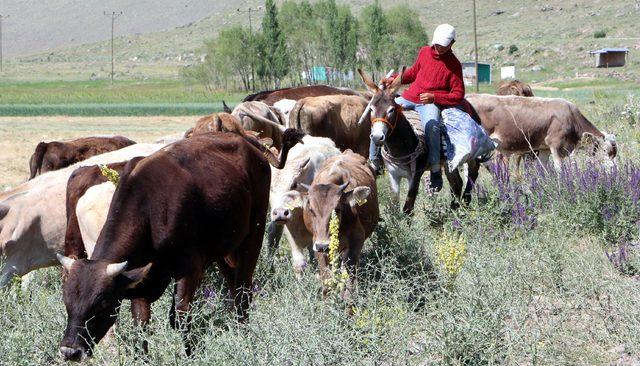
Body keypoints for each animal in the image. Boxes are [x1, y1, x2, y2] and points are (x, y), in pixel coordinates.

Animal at [56, 129, 304, 360]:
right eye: (67, 302)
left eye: (101, 303)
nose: (70, 351)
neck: (150, 212)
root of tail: (247, 141)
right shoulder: (141, 281)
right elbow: (141, 326)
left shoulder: (190, 269)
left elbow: (181, 318)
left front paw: (192, 354)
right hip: (224, 251)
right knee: (234, 289)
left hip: (253, 236)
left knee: (243, 293)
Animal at [286, 150, 380, 302]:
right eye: (311, 209)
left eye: (337, 209)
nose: (323, 245)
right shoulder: (317, 243)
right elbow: (326, 276)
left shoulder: (356, 241)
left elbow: (349, 277)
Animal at [468, 93, 616, 169]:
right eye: (604, 150)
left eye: (614, 153)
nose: (614, 168)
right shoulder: (555, 144)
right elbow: (558, 168)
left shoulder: (544, 149)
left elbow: (544, 167)